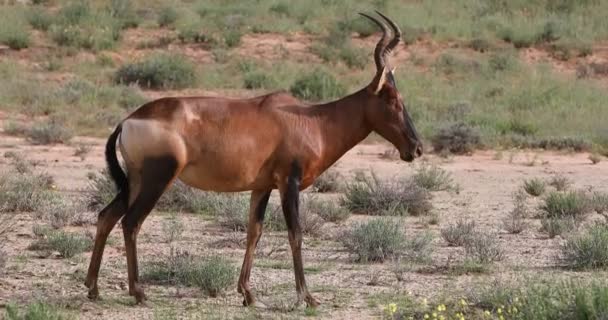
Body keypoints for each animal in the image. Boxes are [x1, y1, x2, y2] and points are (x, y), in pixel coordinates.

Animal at [84, 11, 422, 308]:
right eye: (393, 99)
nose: (416, 148)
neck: (311, 120)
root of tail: (128, 120)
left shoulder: (262, 187)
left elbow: (254, 232)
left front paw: (248, 294)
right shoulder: (289, 182)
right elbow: (295, 234)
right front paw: (307, 297)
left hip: (136, 180)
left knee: (107, 216)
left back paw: (93, 288)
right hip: (158, 179)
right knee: (131, 222)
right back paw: (138, 292)